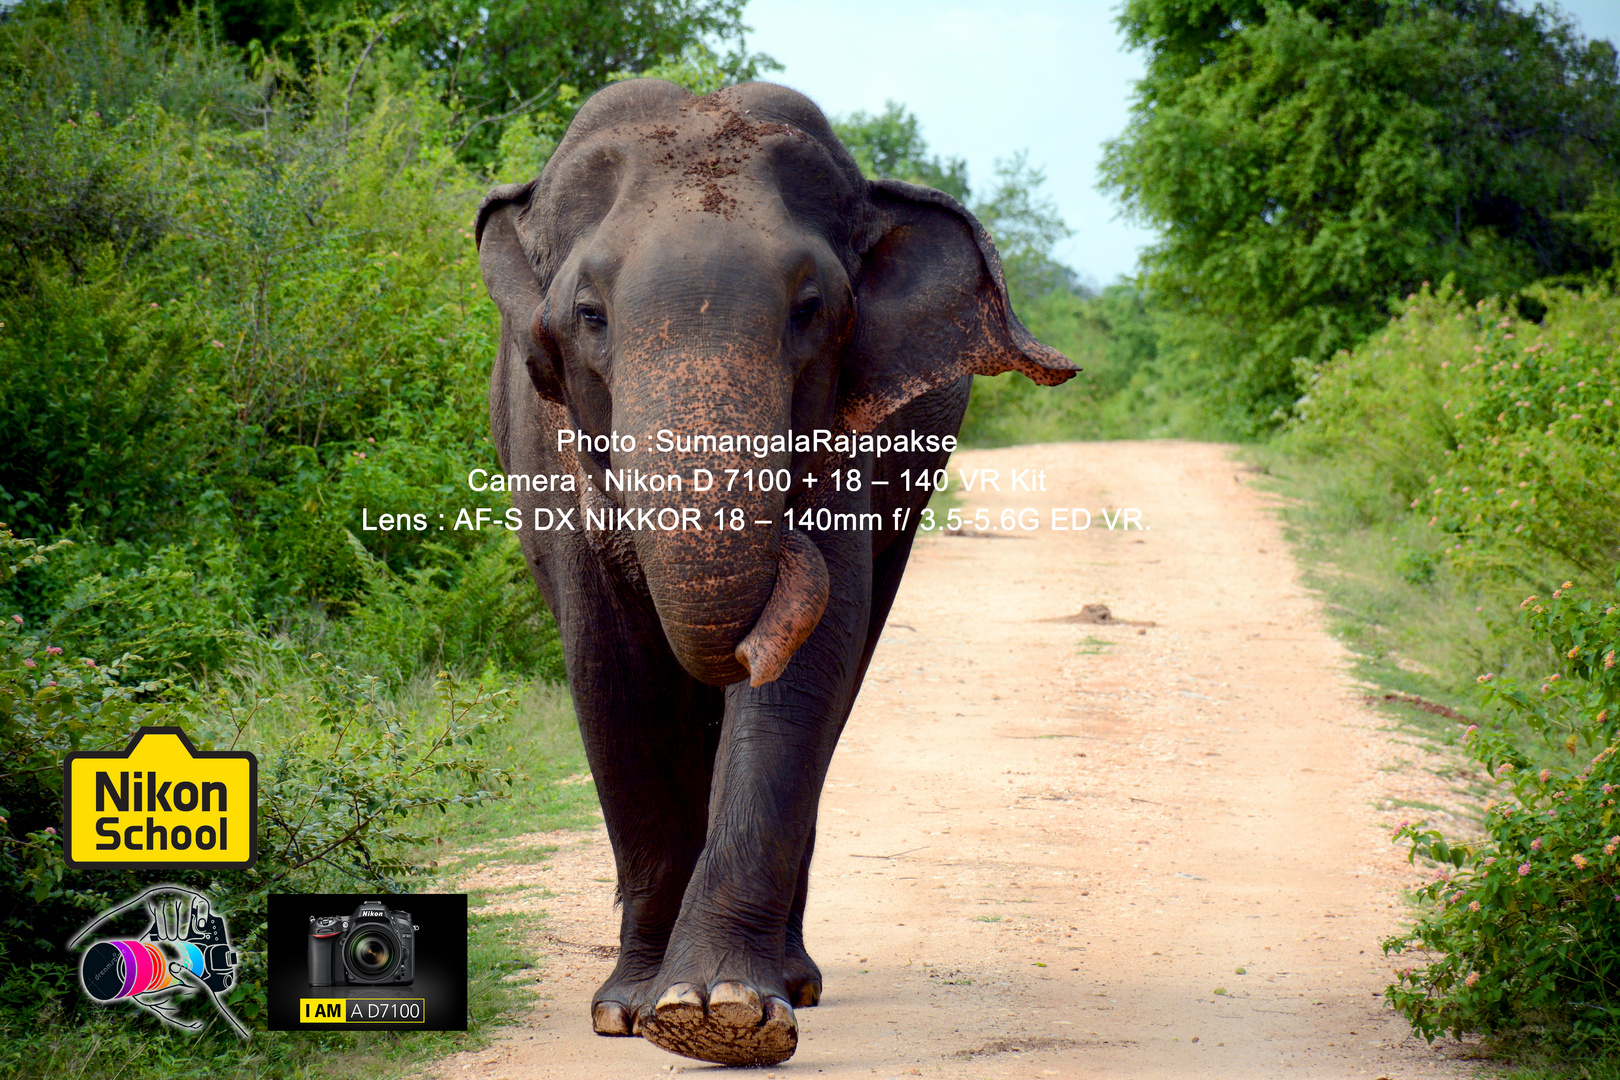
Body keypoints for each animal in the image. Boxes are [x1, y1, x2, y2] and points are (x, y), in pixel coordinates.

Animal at [473, 80, 1075, 1068]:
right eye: (589, 313)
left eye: (811, 308)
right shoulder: (548, 445)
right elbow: (609, 671)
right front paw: (629, 1009)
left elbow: (810, 664)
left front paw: (718, 1014)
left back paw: (793, 979)